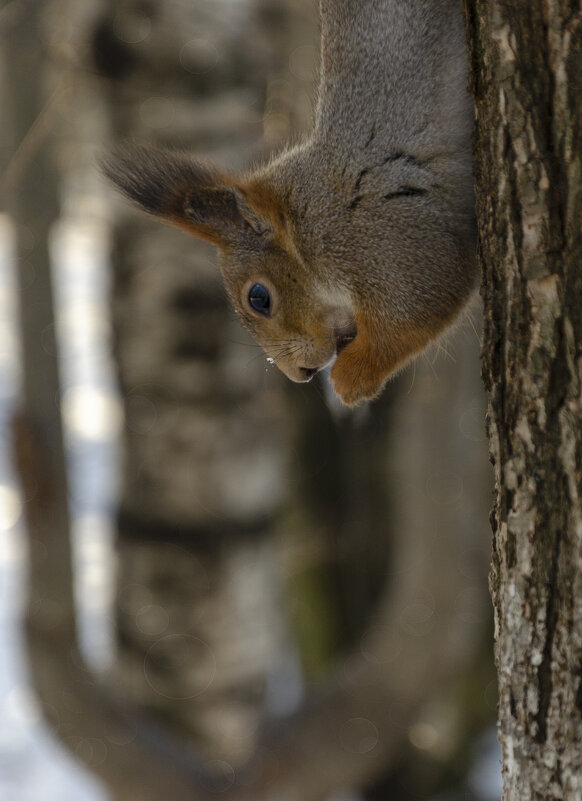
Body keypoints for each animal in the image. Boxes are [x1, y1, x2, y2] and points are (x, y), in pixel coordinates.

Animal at [104, 0, 480, 406]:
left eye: (259, 298)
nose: (299, 373)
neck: (301, 219)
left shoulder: (378, 237)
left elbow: (414, 312)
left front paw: (350, 378)